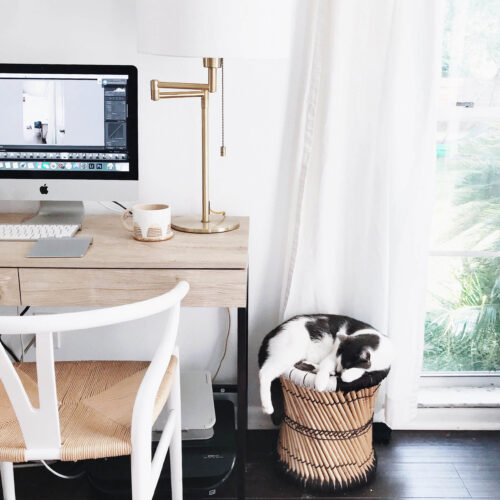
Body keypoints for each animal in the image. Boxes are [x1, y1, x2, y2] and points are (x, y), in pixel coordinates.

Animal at [260, 316, 392, 414]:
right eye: (340, 365)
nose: (338, 371)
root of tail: (274, 330)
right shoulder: (333, 355)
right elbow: (326, 367)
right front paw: (321, 383)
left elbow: (358, 370)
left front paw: (346, 374)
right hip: (288, 353)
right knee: (264, 373)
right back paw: (267, 407)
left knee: (296, 365)